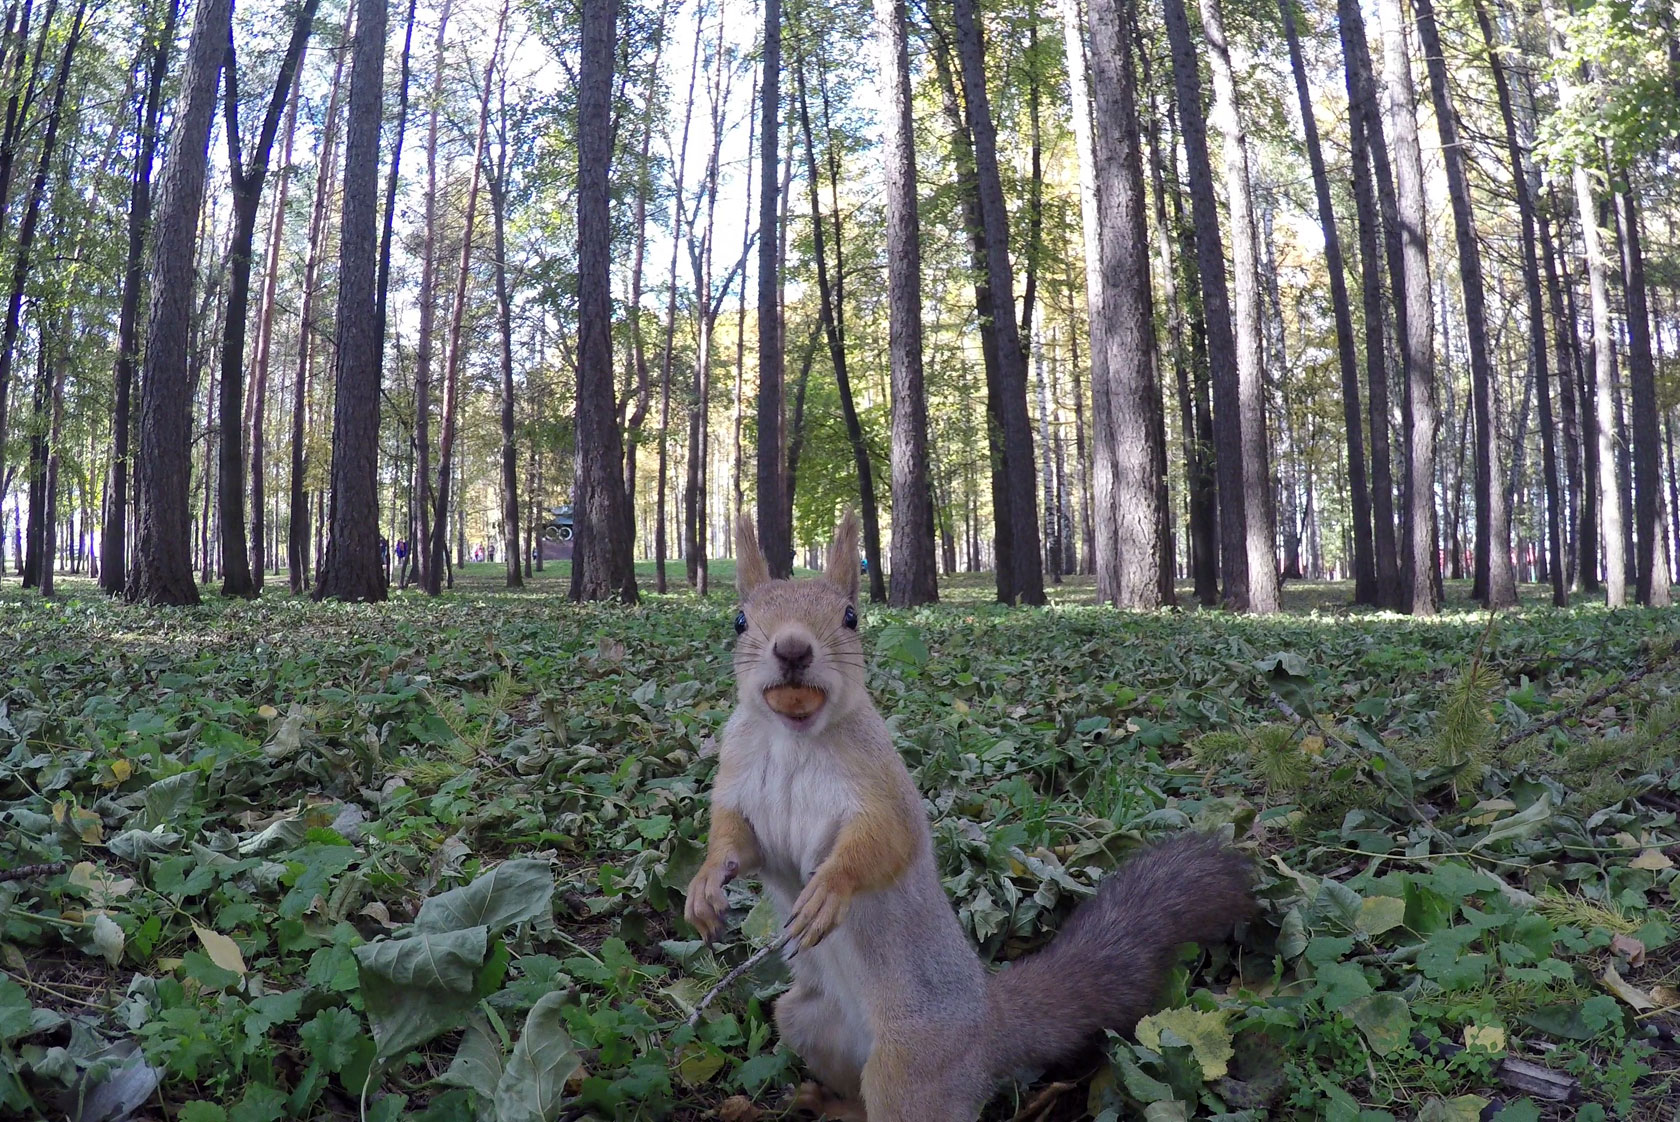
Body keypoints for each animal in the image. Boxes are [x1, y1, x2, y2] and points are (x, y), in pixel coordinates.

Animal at [685, 510, 1263, 1122]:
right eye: (739, 620)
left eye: (851, 617)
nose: (793, 649)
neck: (794, 739)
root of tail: (989, 1023)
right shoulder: (738, 783)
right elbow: (737, 842)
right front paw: (705, 886)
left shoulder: (884, 787)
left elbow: (883, 844)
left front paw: (828, 888)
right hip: (805, 1020)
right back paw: (831, 1103)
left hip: (910, 1071)